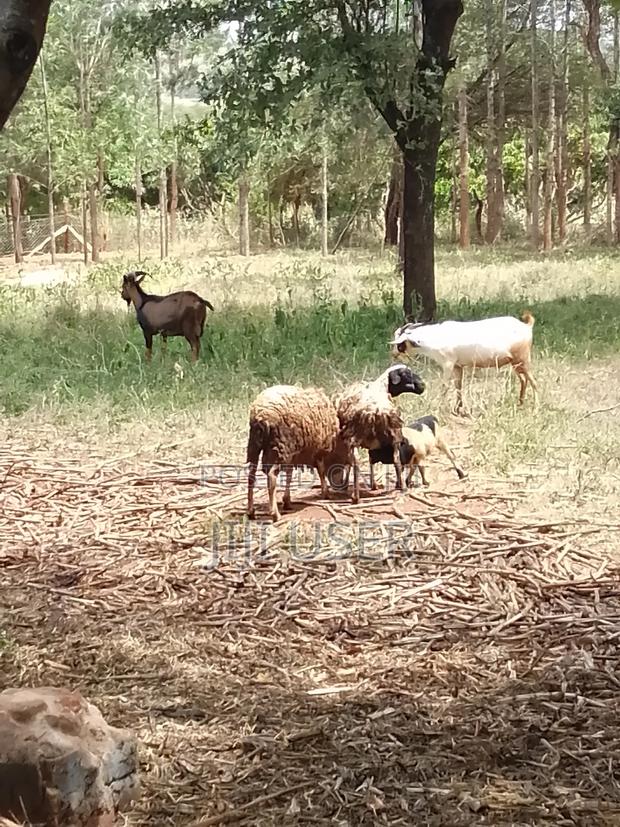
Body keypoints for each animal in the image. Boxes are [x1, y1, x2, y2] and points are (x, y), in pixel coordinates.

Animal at [390, 311, 538, 414]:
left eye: (400, 344)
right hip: (515, 363)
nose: (394, 354)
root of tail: (526, 326)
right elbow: (458, 386)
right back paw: (520, 403)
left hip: (523, 360)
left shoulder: (448, 364)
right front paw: (458, 409)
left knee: (533, 381)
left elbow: (445, 387)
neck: (435, 337)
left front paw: (439, 408)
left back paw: (536, 407)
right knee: (524, 380)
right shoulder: (457, 366)